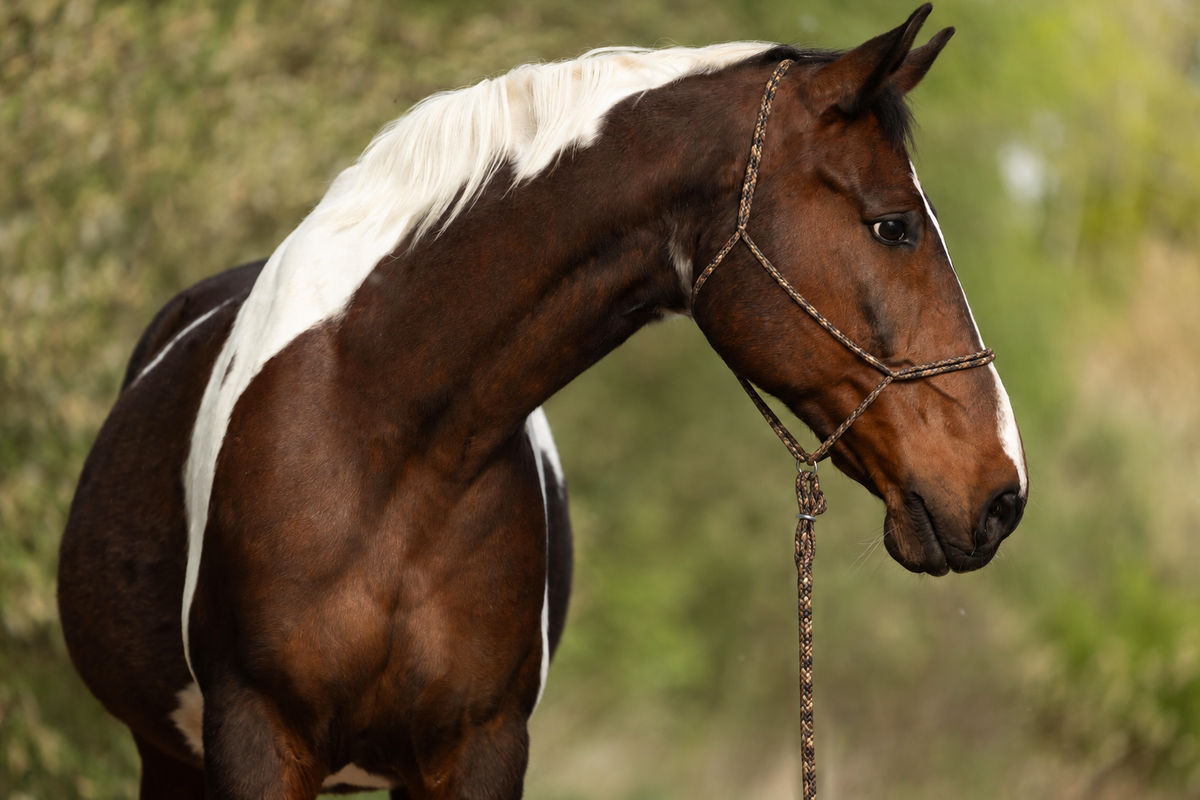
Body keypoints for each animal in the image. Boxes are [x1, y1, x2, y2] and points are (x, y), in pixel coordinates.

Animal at [57, 5, 1027, 798]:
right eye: (893, 225)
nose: (1003, 494)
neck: (383, 442)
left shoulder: (479, 750)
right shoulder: (254, 739)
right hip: (168, 758)